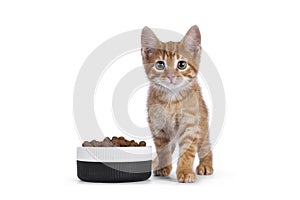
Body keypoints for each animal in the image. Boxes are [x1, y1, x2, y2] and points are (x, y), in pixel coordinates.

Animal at [141, 25, 213, 183]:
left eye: (181, 64)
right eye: (160, 65)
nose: (171, 76)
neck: (172, 99)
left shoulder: (190, 124)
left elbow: (188, 151)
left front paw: (185, 171)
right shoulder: (157, 126)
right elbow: (163, 150)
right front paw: (163, 166)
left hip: (202, 124)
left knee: (205, 145)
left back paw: (206, 164)